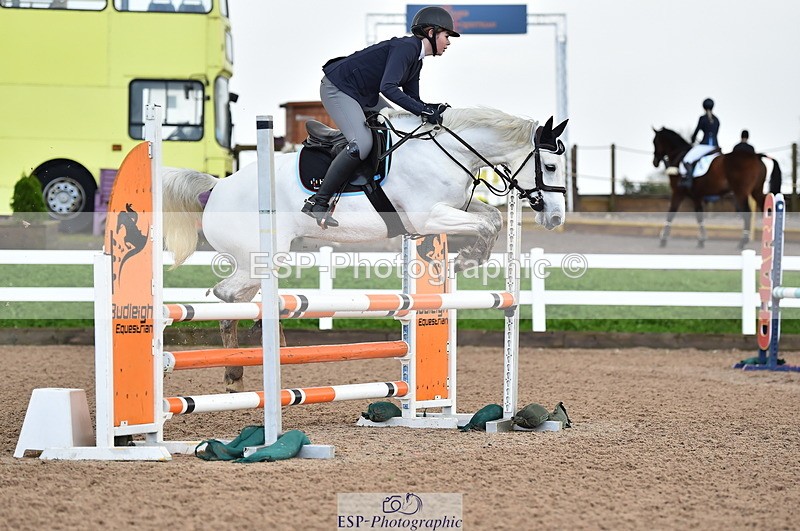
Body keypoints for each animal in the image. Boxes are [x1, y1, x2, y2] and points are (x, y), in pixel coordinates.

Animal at [161, 108, 569, 392]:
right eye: (549, 166)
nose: (555, 217)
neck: (447, 152)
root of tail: (216, 187)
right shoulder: (427, 216)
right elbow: (484, 225)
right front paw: (467, 259)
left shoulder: (453, 210)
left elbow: (492, 220)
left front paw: (466, 257)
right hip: (259, 257)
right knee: (227, 296)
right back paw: (245, 363)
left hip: (263, 260)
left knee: (236, 300)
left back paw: (248, 362)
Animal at [652, 127, 782, 248]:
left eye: (655, 141)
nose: (655, 162)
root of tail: (757, 156)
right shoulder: (696, 196)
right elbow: (699, 216)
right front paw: (702, 240)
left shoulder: (678, 192)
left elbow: (671, 212)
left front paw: (663, 239)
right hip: (756, 191)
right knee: (766, 208)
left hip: (741, 192)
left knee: (747, 212)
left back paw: (742, 242)